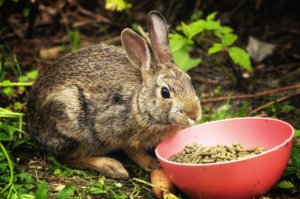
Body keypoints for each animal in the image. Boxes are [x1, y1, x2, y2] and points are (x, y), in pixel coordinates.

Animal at [26, 10, 202, 179]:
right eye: (165, 92)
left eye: (189, 80)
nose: (194, 115)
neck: (140, 104)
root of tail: (32, 122)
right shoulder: (117, 131)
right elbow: (132, 151)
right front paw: (151, 163)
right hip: (70, 121)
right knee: (68, 158)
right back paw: (112, 167)